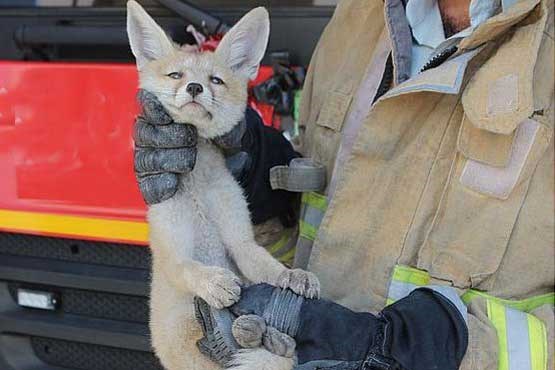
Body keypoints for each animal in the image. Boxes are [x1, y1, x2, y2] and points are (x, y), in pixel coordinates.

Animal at [125, 2, 318, 370]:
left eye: (215, 80)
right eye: (176, 76)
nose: (195, 88)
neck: (198, 196)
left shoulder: (240, 242)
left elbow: (268, 268)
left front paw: (293, 276)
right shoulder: (171, 251)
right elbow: (189, 268)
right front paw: (213, 281)